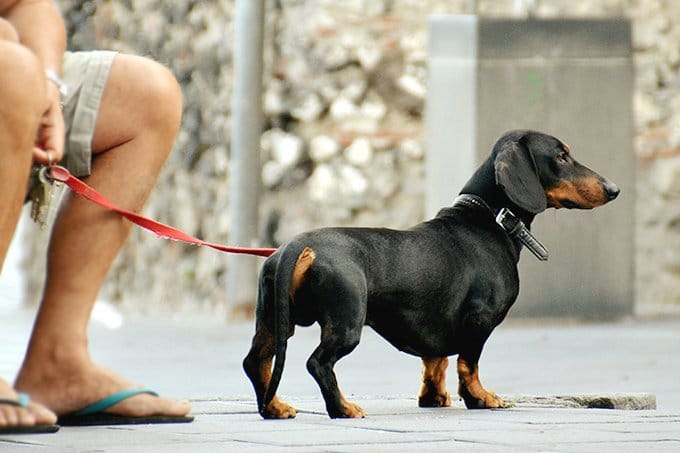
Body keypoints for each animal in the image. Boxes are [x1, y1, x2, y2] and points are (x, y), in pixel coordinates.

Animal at [242, 129, 620, 418]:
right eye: (561, 156)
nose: (614, 189)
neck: (489, 220)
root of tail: (298, 245)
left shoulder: (435, 321)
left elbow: (435, 362)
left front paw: (434, 398)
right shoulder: (479, 321)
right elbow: (469, 364)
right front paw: (481, 398)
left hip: (273, 318)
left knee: (256, 362)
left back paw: (274, 407)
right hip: (345, 323)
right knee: (318, 363)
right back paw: (343, 408)